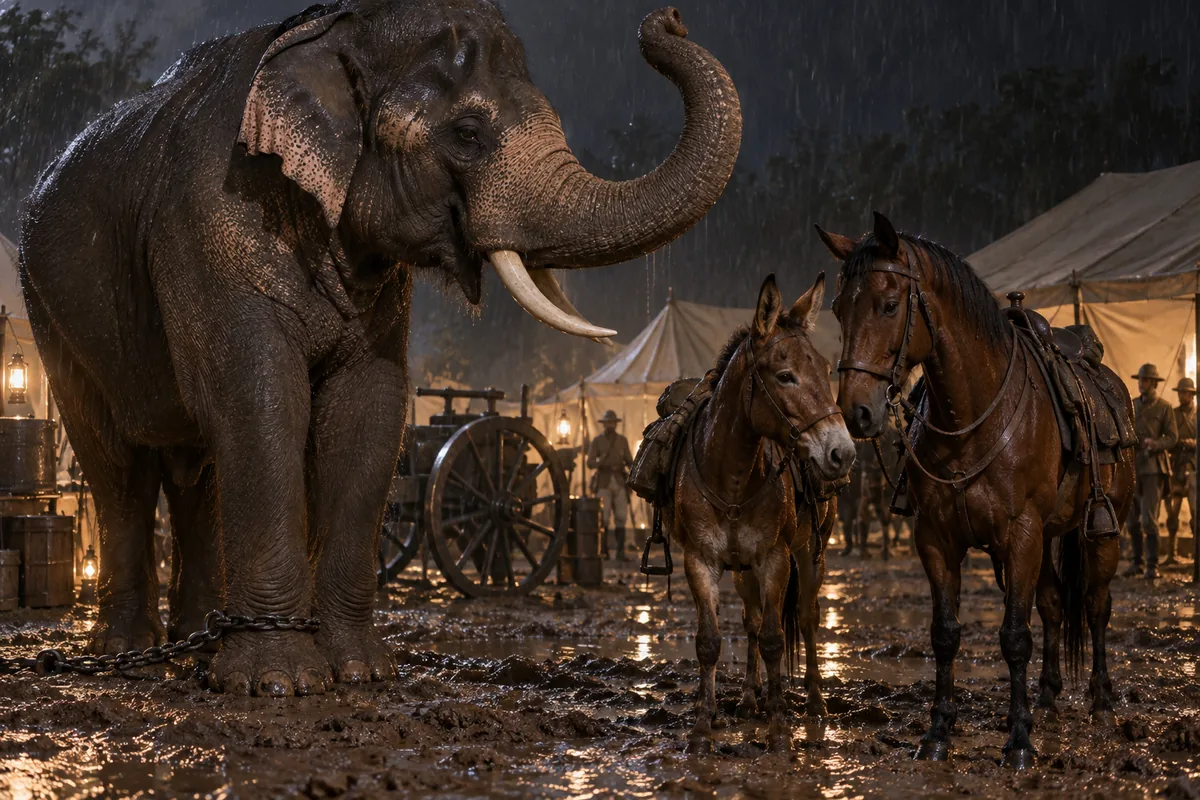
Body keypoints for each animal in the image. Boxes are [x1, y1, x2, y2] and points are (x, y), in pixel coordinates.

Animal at [19, 0, 741, 696]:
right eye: (467, 133)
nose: (669, 20)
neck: (341, 30)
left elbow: (369, 408)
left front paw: (362, 673)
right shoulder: (213, 220)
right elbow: (258, 398)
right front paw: (278, 683)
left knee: (193, 470)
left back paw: (193, 644)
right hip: (49, 312)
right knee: (117, 463)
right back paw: (127, 652)